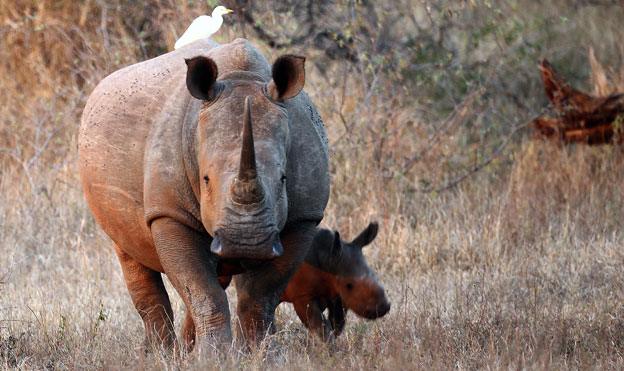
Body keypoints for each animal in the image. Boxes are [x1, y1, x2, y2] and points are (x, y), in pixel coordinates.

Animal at [79, 40, 326, 352]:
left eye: (283, 179)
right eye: (205, 179)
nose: (246, 242)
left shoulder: (304, 217)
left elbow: (260, 296)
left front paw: (260, 354)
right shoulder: (170, 213)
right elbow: (203, 290)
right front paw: (214, 356)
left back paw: (184, 351)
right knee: (129, 252)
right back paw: (161, 353)